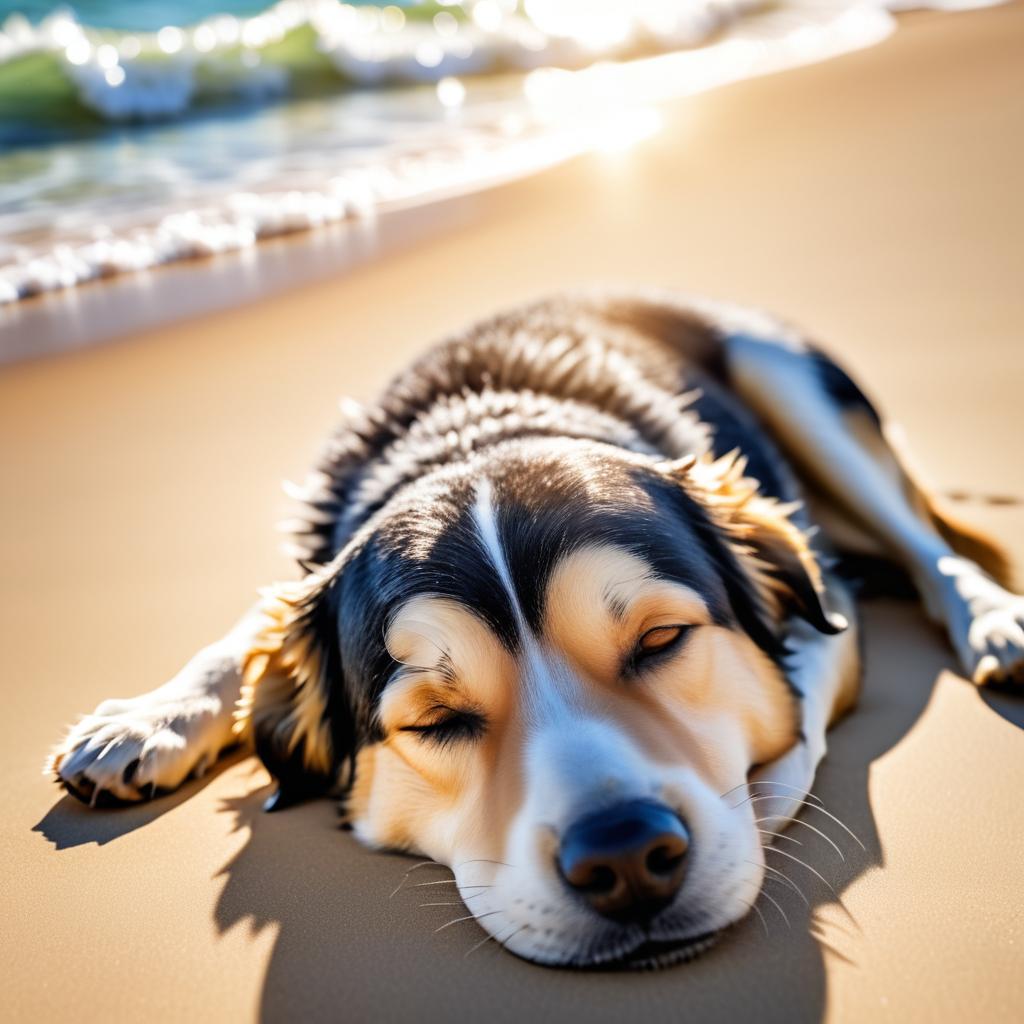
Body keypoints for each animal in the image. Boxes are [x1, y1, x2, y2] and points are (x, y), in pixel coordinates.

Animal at [49, 290, 1024, 966]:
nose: (626, 857)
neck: (477, 431)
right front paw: (154, 716)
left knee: (930, 546)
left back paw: (994, 621)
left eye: (661, 641)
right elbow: (251, 629)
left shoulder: (828, 622)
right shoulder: (307, 571)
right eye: (437, 722)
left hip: (781, 368)